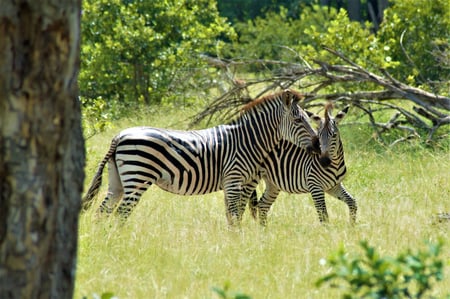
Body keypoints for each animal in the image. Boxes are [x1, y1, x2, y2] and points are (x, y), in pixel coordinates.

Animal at [81, 90, 320, 226]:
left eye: (308, 119)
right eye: (298, 120)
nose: (318, 145)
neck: (247, 141)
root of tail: (119, 136)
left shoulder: (235, 184)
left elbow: (233, 216)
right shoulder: (234, 180)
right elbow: (235, 217)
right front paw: (237, 244)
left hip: (118, 181)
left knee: (102, 212)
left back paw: (106, 243)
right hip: (138, 177)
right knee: (120, 214)